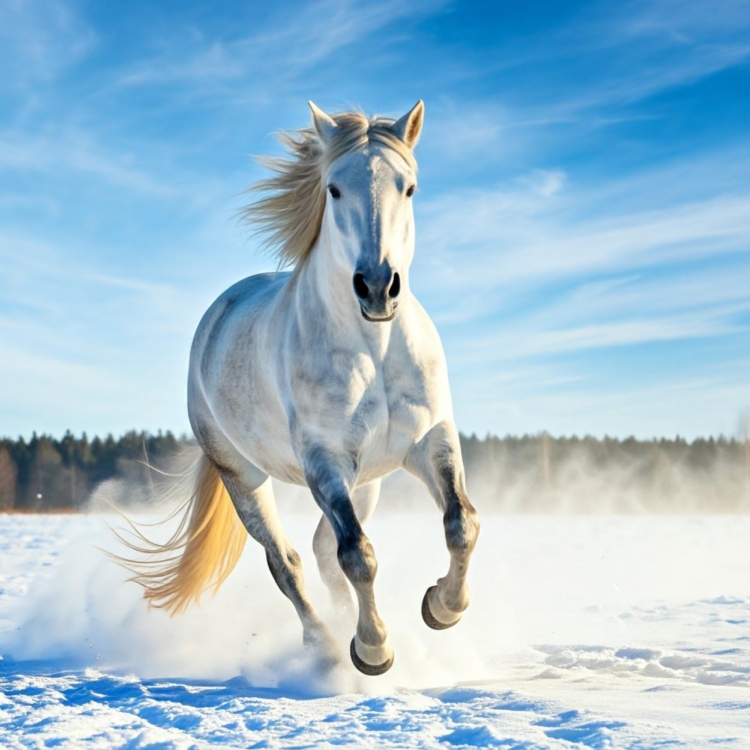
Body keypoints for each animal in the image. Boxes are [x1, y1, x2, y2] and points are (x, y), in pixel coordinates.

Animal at [120, 100, 478, 676]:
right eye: (333, 188)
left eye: (409, 187)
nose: (377, 286)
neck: (374, 347)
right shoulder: (324, 461)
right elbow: (359, 555)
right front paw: (373, 650)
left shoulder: (430, 440)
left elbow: (460, 523)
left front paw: (441, 608)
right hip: (243, 476)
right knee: (286, 560)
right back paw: (327, 645)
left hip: (367, 481)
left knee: (322, 552)